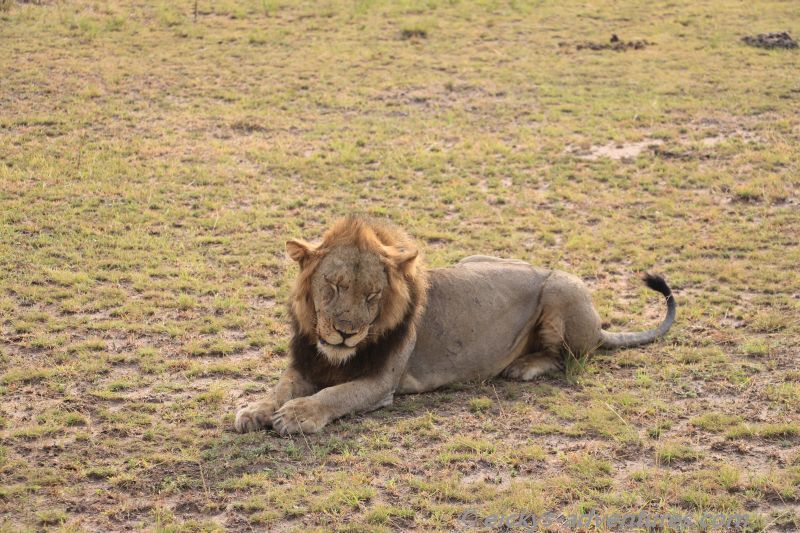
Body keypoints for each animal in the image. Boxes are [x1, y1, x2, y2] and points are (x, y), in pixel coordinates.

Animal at [234, 215, 676, 435]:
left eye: (372, 296)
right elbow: (279, 388)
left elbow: (336, 395)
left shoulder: (381, 382)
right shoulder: (304, 365)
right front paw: (254, 409)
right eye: (334, 286)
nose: (345, 333)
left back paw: (524, 366)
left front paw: (297, 416)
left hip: (561, 288)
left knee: (569, 357)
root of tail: (600, 325)